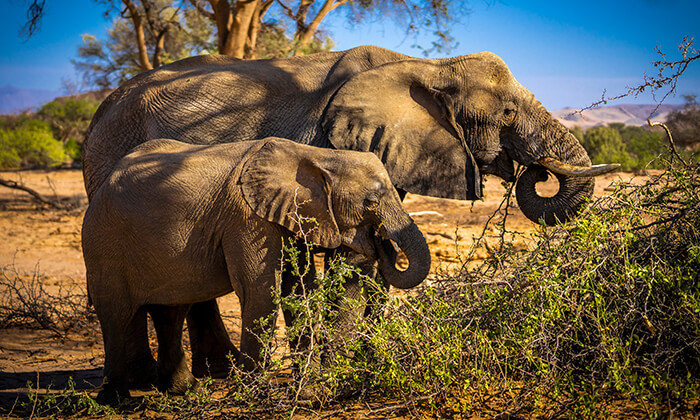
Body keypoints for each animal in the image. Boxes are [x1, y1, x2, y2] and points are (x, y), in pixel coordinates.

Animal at [82, 137, 432, 404]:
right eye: (371, 202)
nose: (380, 242)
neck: (314, 155)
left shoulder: (287, 216)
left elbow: (298, 291)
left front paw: (309, 394)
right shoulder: (247, 217)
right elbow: (261, 291)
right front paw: (251, 395)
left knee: (171, 311)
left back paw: (188, 391)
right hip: (103, 242)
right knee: (116, 314)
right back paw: (118, 401)